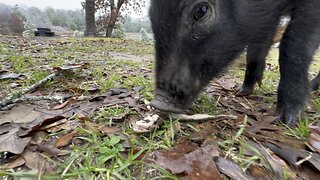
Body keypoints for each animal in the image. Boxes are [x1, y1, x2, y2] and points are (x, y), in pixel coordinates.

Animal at [149, 0, 320, 126]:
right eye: (151, 14)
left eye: (202, 10)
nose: (158, 103)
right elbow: (256, 48)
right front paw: (242, 91)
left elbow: (293, 47)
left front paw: (289, 121)